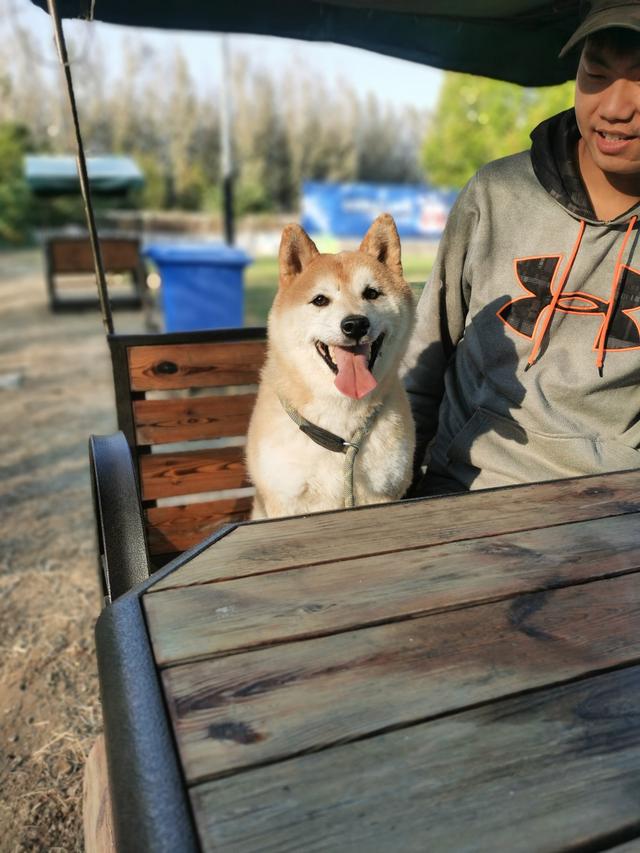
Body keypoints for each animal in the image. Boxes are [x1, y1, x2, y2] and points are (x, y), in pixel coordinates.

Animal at [245, 213, 416, 520]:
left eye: (372, 293)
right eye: (320, 300)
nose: (355, 324)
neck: (340, 433)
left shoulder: (383, 494)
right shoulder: (285, 500)